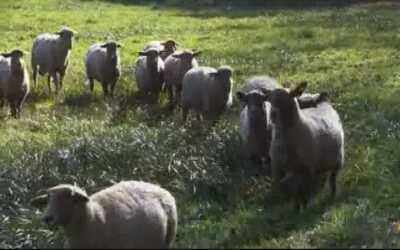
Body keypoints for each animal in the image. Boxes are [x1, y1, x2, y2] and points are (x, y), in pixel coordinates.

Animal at [264, 82, 346, 213]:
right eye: (270, 99)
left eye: (287, 99)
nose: (273, 115)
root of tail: (323, 102)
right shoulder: (278, 168)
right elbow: (295, 192)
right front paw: (296, 210)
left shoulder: (307, 168)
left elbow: (304, 191)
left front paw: (304, 208)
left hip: (337, 160)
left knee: (331, 181)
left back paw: (332, 196)